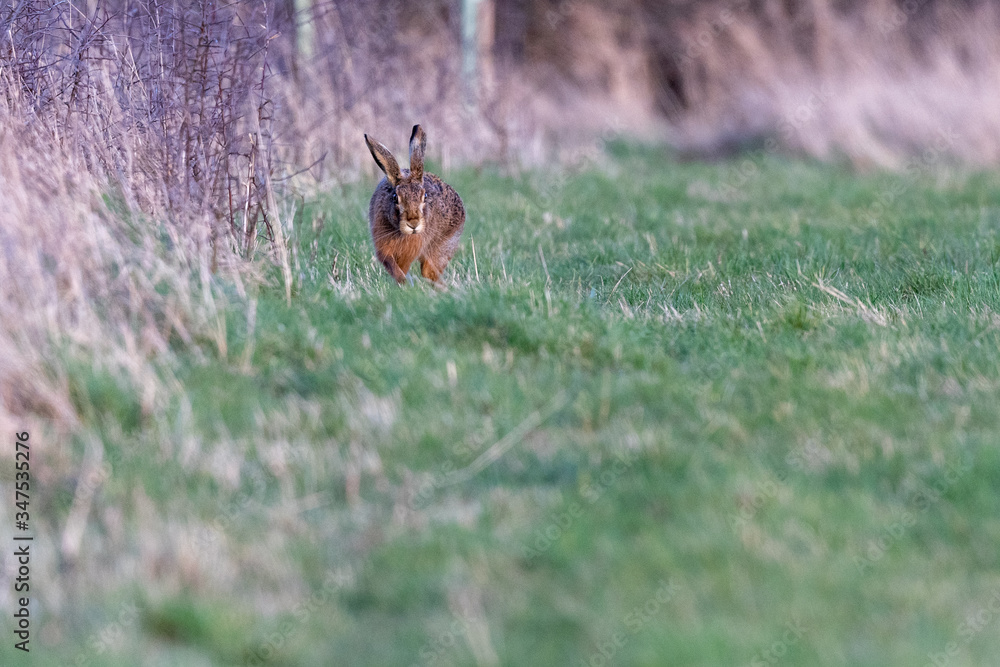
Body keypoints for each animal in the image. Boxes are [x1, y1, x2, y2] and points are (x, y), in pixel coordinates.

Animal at [364, 125, 465, 284]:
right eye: (395, 197)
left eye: (425, 196)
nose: (413, 223)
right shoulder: (383, 247)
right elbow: (392, 264)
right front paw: (403, 282)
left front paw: (405, 284)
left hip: (445, 244)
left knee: (430, 271)